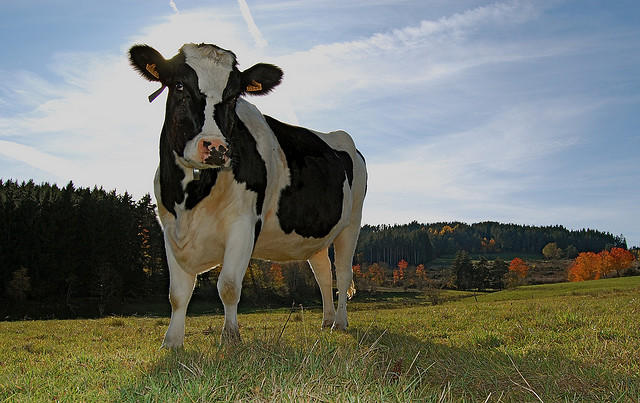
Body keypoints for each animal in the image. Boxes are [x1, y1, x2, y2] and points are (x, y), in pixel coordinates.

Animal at [129, 43, 367, 348]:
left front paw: (231, 337)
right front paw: (172, 342)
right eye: (180, 85)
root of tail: (342, 137)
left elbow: (229, 285)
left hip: (352, 223)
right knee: (323, 275)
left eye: (233, 96)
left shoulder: (243, 224)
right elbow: (177, 293)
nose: (215, 147)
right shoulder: (170, 229)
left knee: (344, 274)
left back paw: (340, 322)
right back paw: (326, 321)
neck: (190, 198)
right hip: (317, 236)